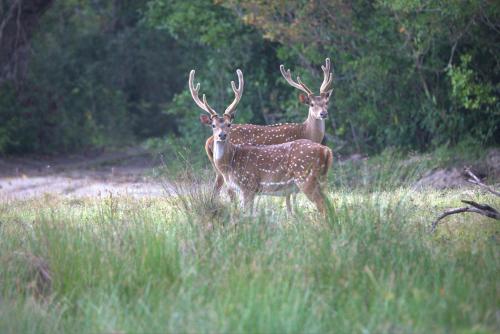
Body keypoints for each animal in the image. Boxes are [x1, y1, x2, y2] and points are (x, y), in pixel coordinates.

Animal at [201, 58, 334, 213]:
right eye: (311, 104)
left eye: (326, 102)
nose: (323, 113)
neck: (306, 131)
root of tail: (208, 141)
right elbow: (289, 199)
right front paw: (292, 214)